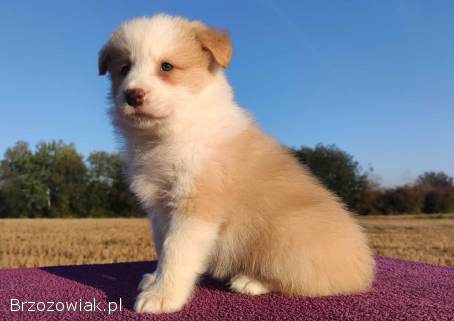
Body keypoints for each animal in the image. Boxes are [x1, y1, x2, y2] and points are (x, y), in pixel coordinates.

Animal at [97, 14, 374, 312]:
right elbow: (162, 246)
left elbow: (176, 251)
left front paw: (162, 296)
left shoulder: (196, 204)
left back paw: (250, 281)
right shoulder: (159, 206)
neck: (174, 129)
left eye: (166, 66)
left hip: (288, 230)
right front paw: (154, 279)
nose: (132, 95)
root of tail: (365, 270)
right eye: (124, 68)